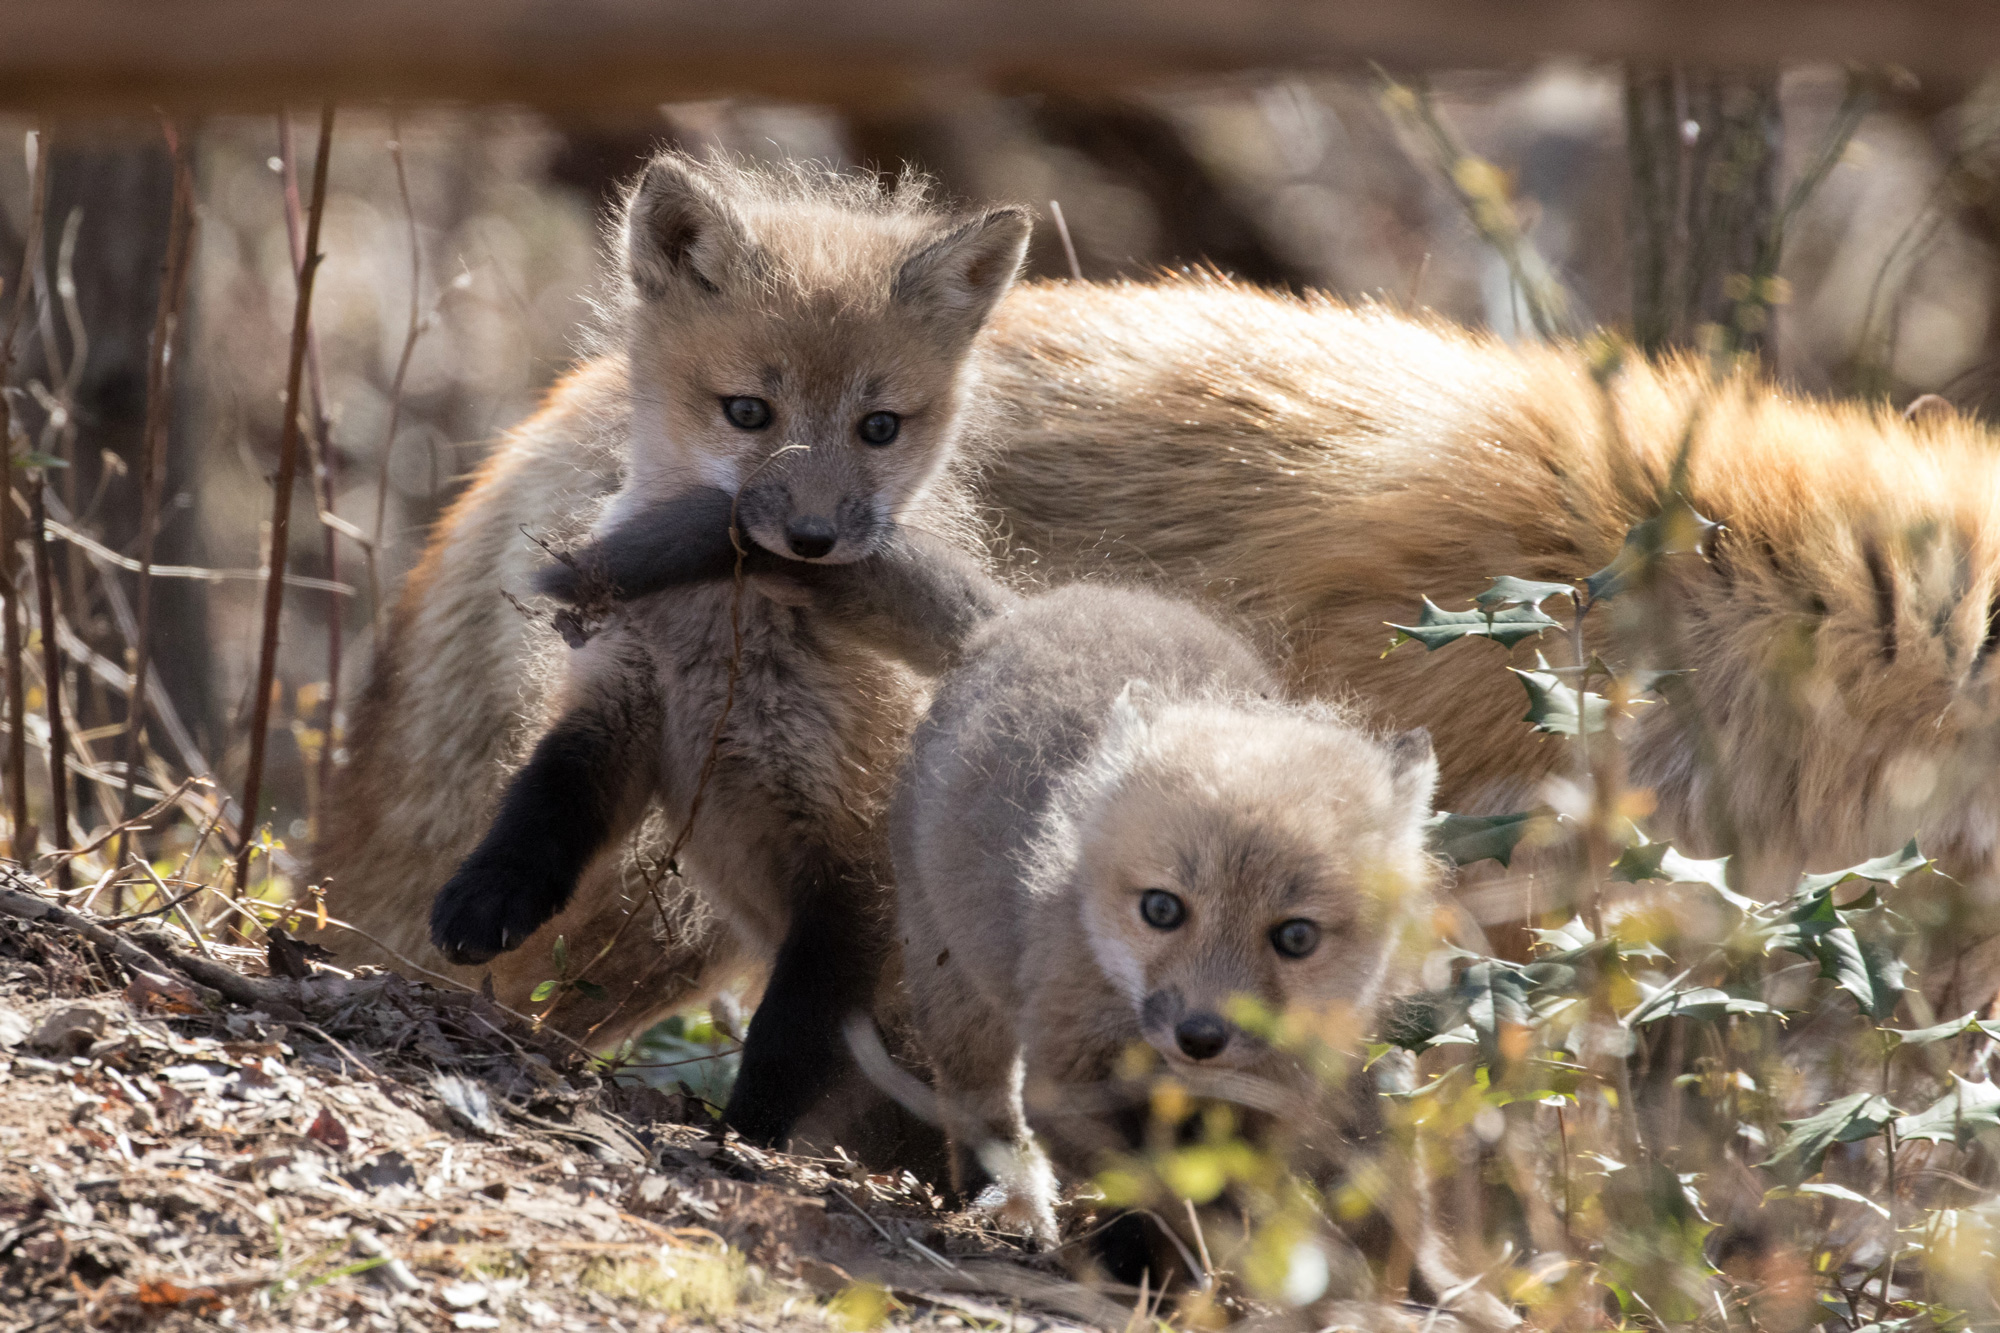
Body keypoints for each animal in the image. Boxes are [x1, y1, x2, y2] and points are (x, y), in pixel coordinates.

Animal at [321, 151, 1031, 1149]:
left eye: (880, 426)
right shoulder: (620, 708)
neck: (720, 654)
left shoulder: (855, 859)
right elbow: (542, 807)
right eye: (749, 412)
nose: (811, 538)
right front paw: (483, 898)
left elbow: (793, 1029)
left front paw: (746, 1132)